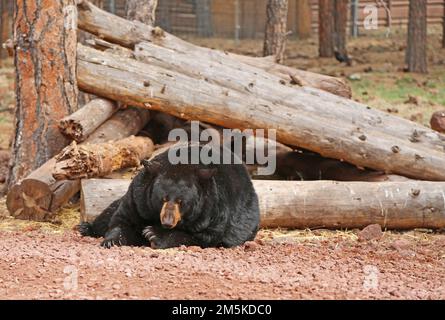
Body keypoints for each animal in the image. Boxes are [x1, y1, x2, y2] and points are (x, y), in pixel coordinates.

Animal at [79, 143, 260, 250]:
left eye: (182, 202)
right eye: (163, 199)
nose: (167, 222)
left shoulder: (213, 209)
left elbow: (202, 235)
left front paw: (153, 234)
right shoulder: (139, 198)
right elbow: (123, 219)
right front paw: (112, 240)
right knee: (108, 212)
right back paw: (85, 227)